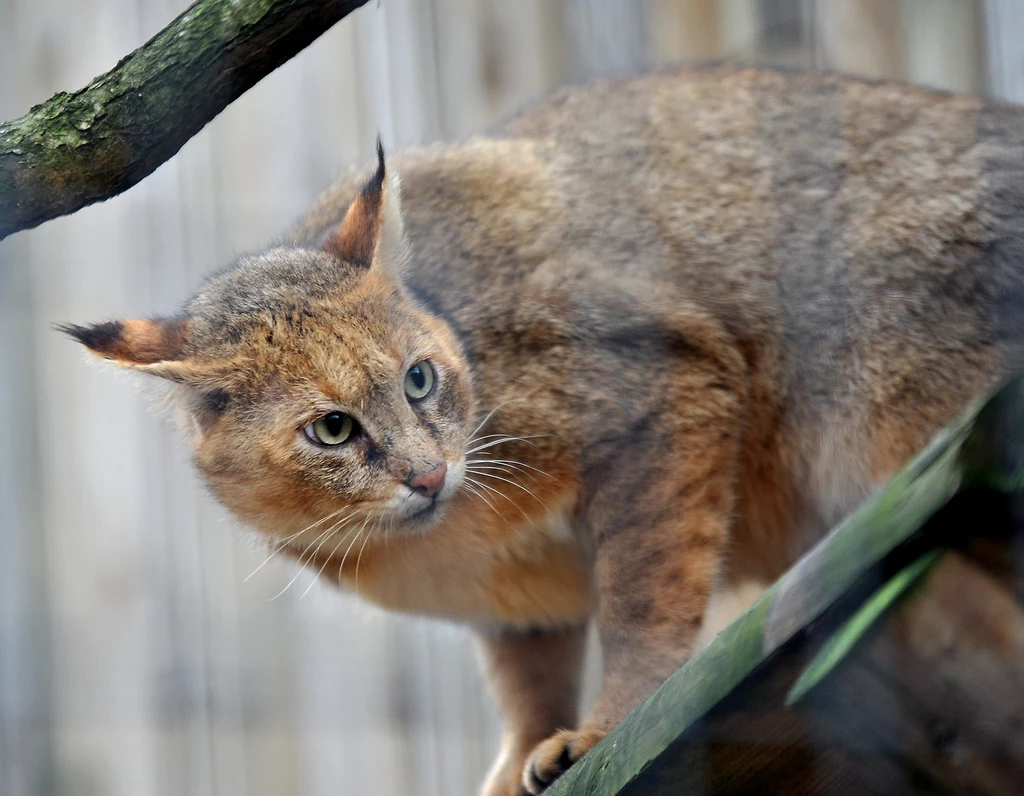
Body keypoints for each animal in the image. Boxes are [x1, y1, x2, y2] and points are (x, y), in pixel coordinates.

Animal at [68, 65, 1024, 790]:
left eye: (419, 379)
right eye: (331, 430)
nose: (426, 474)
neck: (435, 535)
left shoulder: (665, 389)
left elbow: (643, 593)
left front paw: (613, 727)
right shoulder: (512, 600)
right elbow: (525, 678)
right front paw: (528, 753)